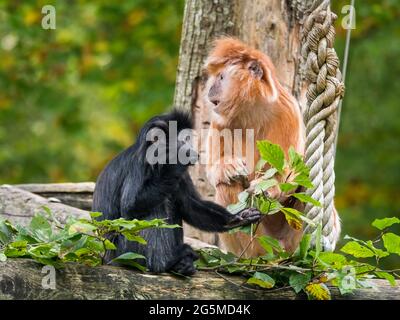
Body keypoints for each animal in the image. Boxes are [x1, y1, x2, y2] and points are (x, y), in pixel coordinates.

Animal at [92, 110, 260, 276]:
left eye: (188, 138)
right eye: (183, 140)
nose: (191, 148)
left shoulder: (181, 175)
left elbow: (190, 206)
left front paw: (238, 218)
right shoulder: (140, 164)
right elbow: (131, 206)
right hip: (124, 251)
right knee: (153, 209)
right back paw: (166, 261)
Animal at [203, 38, 340, 258]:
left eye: (221, 77)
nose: (210, 90)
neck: (250, 109)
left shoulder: (287, 110)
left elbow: (293, 173)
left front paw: (268, 187)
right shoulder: (219, 120)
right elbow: (213, 171)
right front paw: (228, 166)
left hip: (290, 240)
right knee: (227, 184)